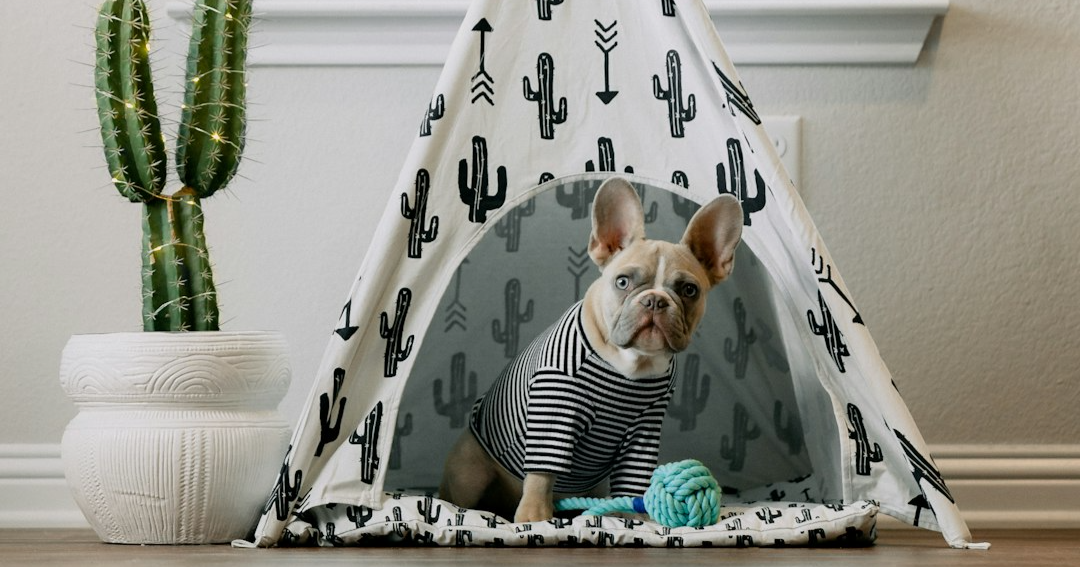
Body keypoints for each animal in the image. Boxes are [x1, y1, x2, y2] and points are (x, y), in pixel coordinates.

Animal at [439, 176, 743, 523]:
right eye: (623, 282)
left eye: (689, 290)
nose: (654, 300)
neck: (632, 365)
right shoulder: (553, 413)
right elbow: (542, 473)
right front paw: (534, 517)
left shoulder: (644, 428)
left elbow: (633, 479)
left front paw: (640, 520)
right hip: (470, 470)